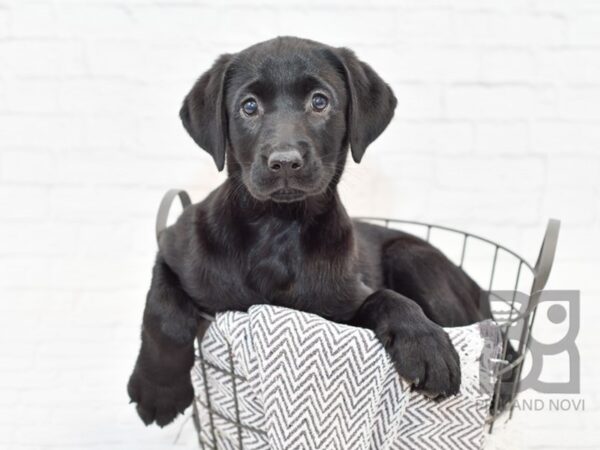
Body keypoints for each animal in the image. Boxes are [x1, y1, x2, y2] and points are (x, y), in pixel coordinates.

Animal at [126, 37, 488, 428]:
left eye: (319, 101)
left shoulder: (343, 304)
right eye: (249, 106)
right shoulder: (173, 247)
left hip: (410, 255)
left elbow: (386, 297)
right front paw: (158, 392)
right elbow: (163, 312)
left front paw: (425, 343)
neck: (278, 227)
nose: (285, 161)